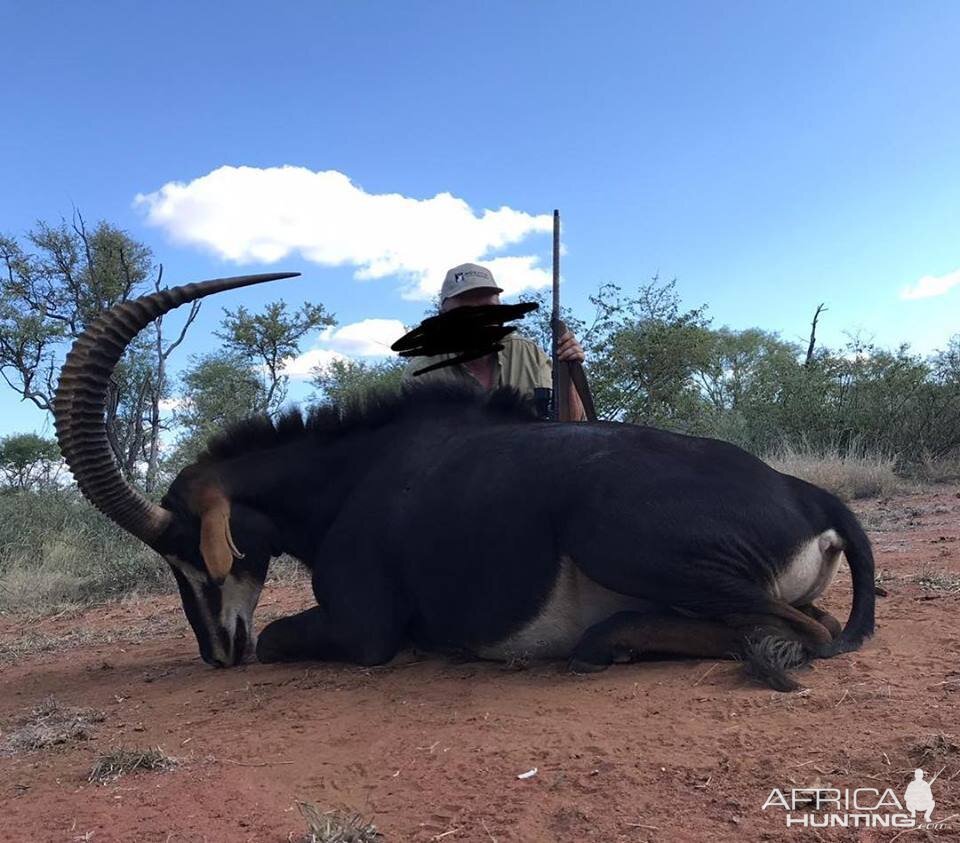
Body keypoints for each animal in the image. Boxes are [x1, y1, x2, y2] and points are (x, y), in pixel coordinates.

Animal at [54, 276, 876, 692]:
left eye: (187, 552)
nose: (217, 652)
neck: (351, 475)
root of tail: (810, 495)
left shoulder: (364, 630)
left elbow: (285, 636)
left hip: (616, 536)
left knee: (805, 631)